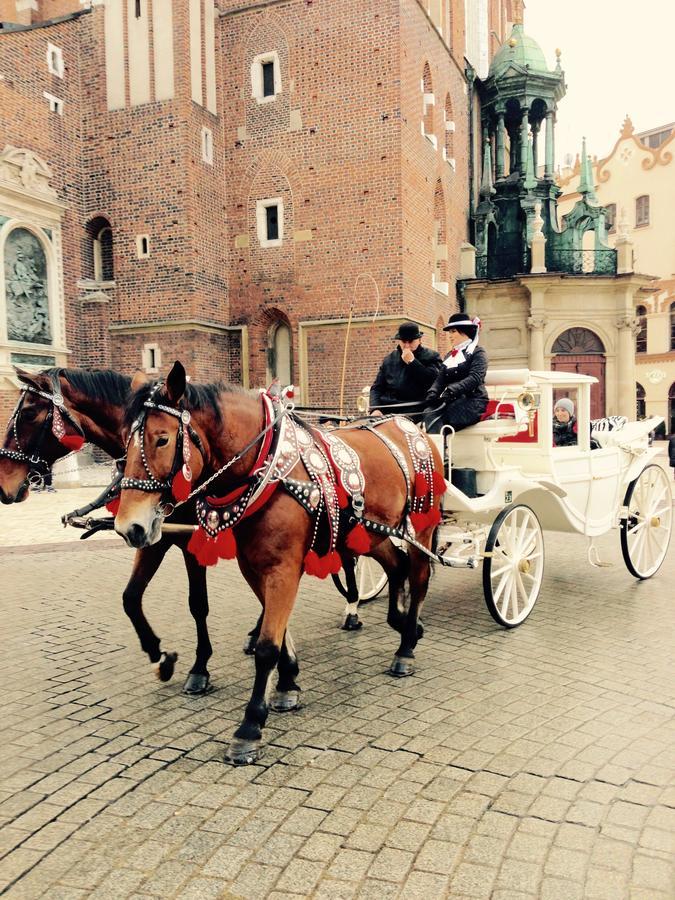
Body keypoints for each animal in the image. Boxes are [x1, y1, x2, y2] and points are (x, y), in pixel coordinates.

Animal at [0, 366, 214, 696]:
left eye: (28, 413)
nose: (2, 484)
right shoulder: (150, 535)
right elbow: (130, 598)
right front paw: (159, 655)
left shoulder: (191, 540)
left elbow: (198, 604)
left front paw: (200, 667)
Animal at [115, 362, 444, 764]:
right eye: (125, 443)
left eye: (161, 439)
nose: (128, 526)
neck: (265, 469)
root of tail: (409, 423)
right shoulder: (253, 565)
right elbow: (276, 631)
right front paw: (288, 683)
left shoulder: (282, 569)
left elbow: (267, 645)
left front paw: (250, 726)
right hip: (371, 532)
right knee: (397, 566)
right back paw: (402, 624)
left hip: (422, 525)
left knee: (420, 575)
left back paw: (406, 646)